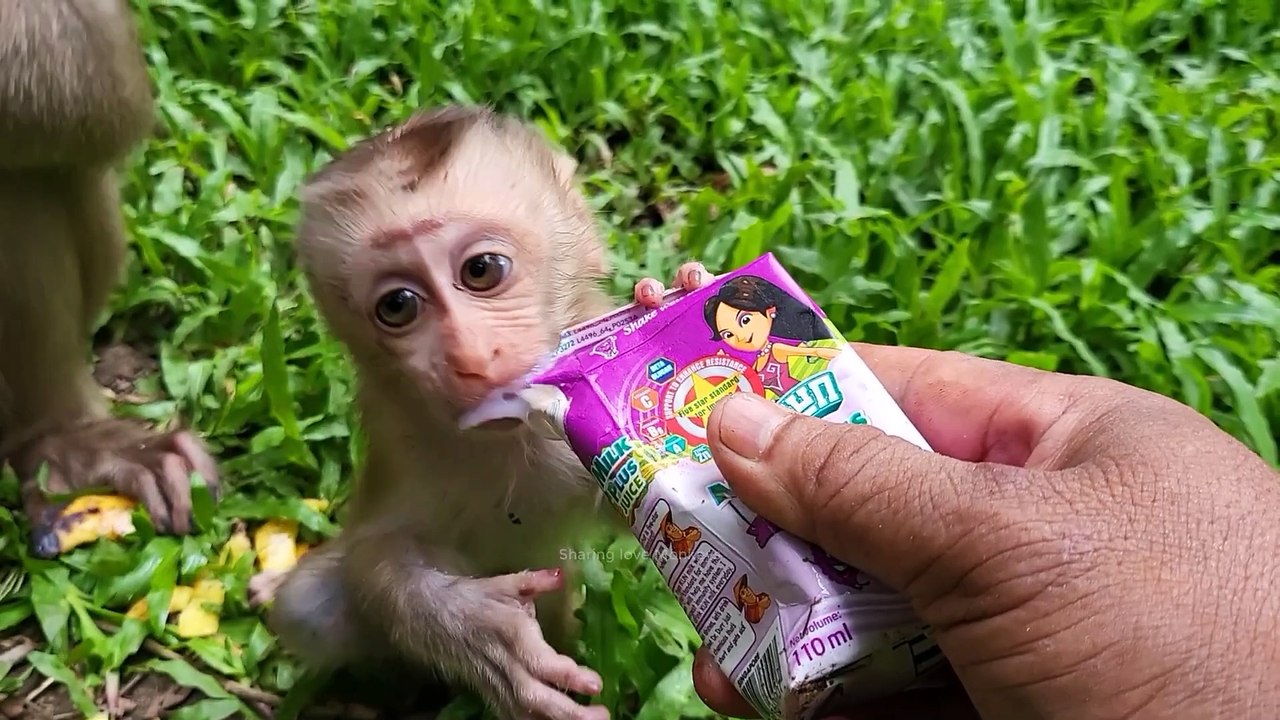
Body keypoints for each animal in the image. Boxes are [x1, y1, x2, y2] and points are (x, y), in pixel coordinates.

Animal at [249, 105, 716, 719]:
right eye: (397, 305)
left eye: (482, 270)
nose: (469, 356)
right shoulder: (402, 438)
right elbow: (375, 552)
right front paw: (477, 633)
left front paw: (668, 293)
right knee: (310, 606)